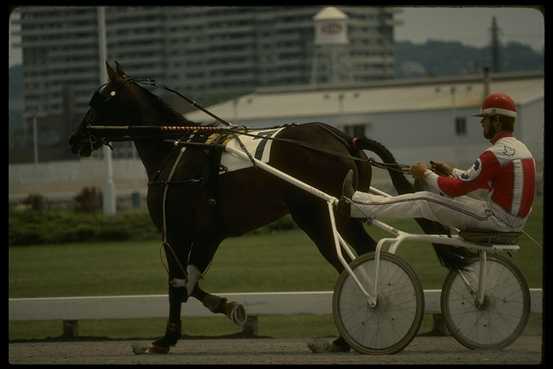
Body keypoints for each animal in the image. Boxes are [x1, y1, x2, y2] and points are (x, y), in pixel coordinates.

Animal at [69, 61, 472, 354]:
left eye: (99, 99)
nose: (75, 139)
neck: (176, 150)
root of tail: (345, 137)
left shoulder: (177, 232)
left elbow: (178, 283)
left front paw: (166, 339)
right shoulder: (209, 234)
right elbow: (191, 282)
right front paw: (228, 307)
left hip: (315, 216)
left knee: (349, 262)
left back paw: (354, 326)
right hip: (342, 212)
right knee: (365, 253)